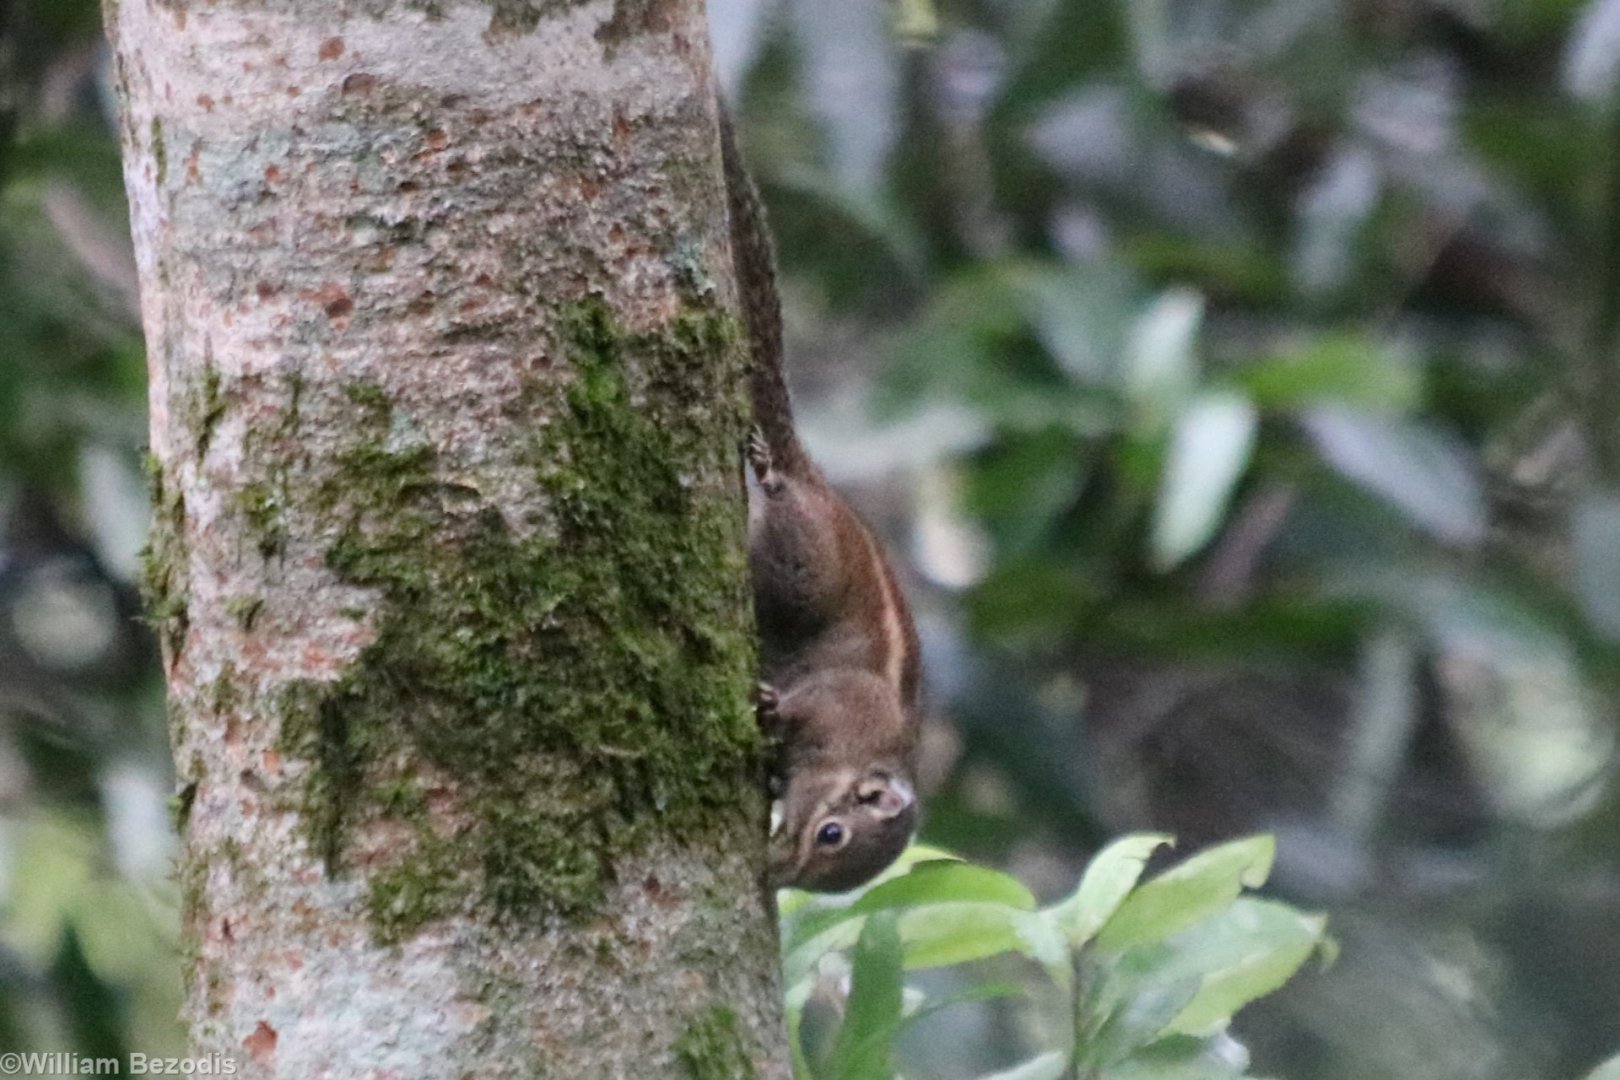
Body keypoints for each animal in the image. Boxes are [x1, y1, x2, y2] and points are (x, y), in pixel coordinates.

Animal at [719, 111, 923, 893]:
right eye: (833, 832)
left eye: (826, 873)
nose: (779, 873)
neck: (862, 751)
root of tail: (823, 491)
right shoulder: (840, 700)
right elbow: (803, 703)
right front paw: (774, 705)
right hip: (801, 559)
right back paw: (770, 468)